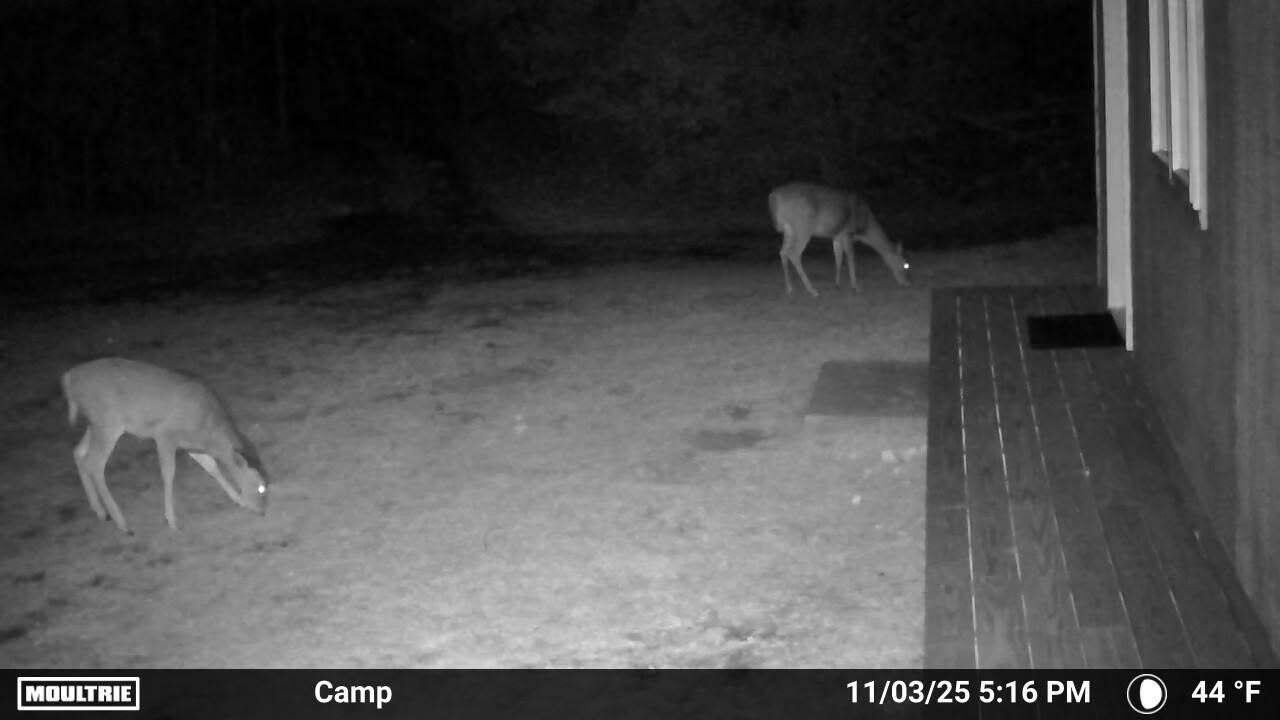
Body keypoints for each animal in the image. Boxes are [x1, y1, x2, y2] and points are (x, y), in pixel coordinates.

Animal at [62, 357, 268, 533]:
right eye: (261, 487)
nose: (262, 511)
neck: (207, 432)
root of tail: (68, 378)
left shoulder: (190, 444)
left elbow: (211, 466)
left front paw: (238, 500)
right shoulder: (165, 435)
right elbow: (169, 473)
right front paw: (172, 521)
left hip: (96, 424)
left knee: (78, 453)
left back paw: (100, 511)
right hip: (108, 422)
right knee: (94, 464)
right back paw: (122, 523)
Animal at [768, 182, 911, 297]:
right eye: (904, 265)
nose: (906, 283)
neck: (865, 229)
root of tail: (774, 197)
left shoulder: (837, 236)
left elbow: (838, 258)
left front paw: (837, 284)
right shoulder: (848, 232)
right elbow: (851, 258)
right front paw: (856, 287)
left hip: (789, 230)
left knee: (783, 252)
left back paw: (790, 288)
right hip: (803, 226)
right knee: (794, 253)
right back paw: (812, 290)